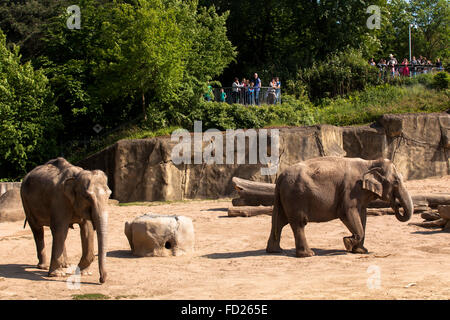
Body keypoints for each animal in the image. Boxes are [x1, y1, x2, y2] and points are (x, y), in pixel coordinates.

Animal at [266, 156, 414, 256]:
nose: (397, 204)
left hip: (284, 198)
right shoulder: (351, 190)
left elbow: (362, 216)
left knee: (278, 222)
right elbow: (347, 213)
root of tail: (280, 177)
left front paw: (361, 251)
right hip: (296, 197)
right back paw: (308, 254)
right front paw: (347, 242)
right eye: (396, 182)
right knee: (299, 223)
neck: (370, 163)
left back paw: (275, 251)